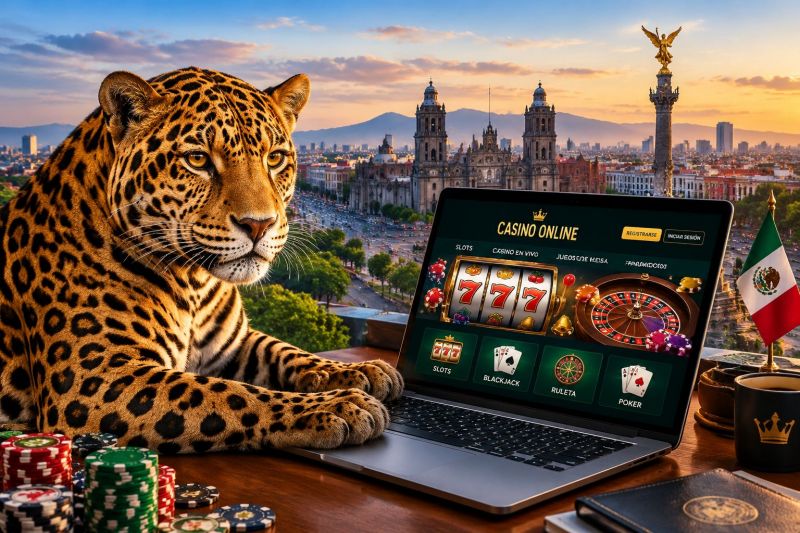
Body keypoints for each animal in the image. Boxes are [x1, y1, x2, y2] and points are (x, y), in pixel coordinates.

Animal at [0, 66, 404, 453]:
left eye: (275, 158)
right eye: (197, 159)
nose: (259, 225)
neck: (194, 281)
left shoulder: (234, 348)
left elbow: (286, 350)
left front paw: (362, 370)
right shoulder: (92, 379)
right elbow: (232, 395)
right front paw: (338, 405)